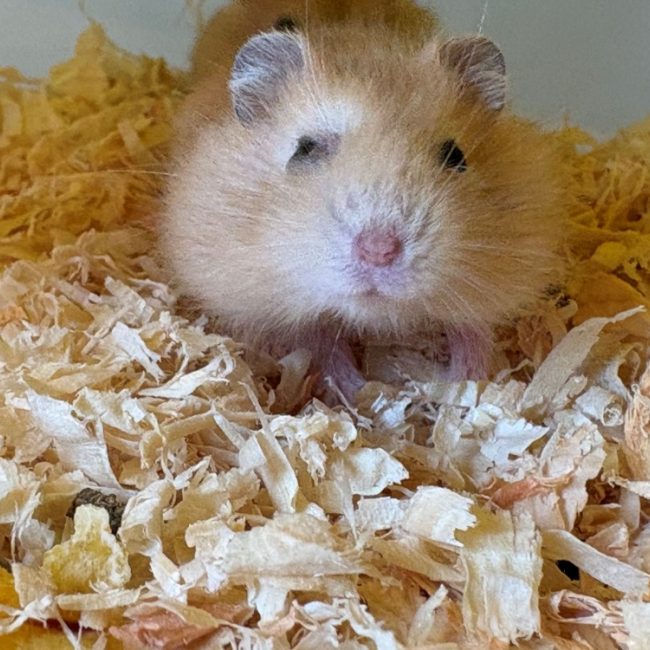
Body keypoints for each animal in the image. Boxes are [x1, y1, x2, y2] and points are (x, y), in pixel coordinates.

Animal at [158, 0, 566, 402]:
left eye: (456, 156)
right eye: (304, 149)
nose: (379, 251)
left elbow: (472, 334)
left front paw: (455, 384)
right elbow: (319, 343)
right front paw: (362, 391)